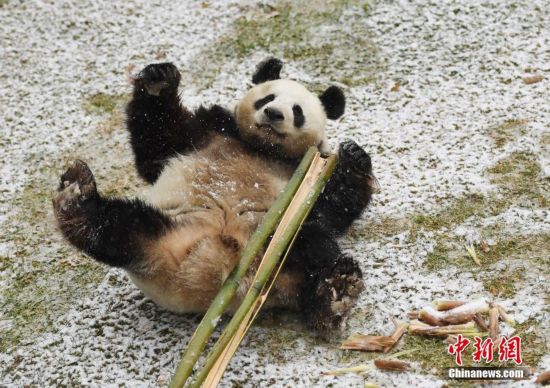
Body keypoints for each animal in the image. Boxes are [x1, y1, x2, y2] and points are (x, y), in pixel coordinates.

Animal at [52, 57, 380, 336]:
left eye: (297, 111)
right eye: (268, 98)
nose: (273, 114)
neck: (263, 148)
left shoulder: (307, 174)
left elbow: (335, 208)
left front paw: (355, 158)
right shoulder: (209, 132)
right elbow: (158, 144)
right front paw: (159, 79)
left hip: (277, 246)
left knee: (315, 248)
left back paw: (336, 292)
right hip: (169, 230)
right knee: (118, 227)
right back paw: (77, 203)